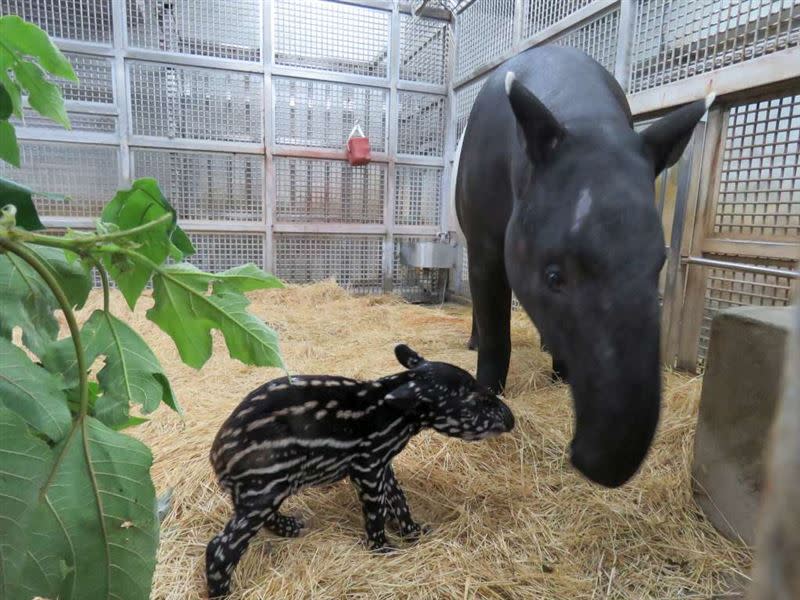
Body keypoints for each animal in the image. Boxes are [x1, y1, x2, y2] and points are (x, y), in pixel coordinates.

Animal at [206, 344, 516, 596]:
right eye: (474, 399)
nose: (511, 419)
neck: (396, 415)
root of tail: (218, 456)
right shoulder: (366, 465)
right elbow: (376, 510)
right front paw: (383, 547)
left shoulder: (382, 462)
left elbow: (398, 497)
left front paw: (414, 531)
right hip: (264, 482)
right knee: (221, 546)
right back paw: (221, 591)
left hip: (265, 486)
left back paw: (290, 526)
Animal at [454, 45, 716, 488]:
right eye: (553, 276)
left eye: (659, 266)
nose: (601, 463)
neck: (585, 118)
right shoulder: (486, 241)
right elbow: (494, 323)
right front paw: (488, 393)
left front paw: (561, 374)